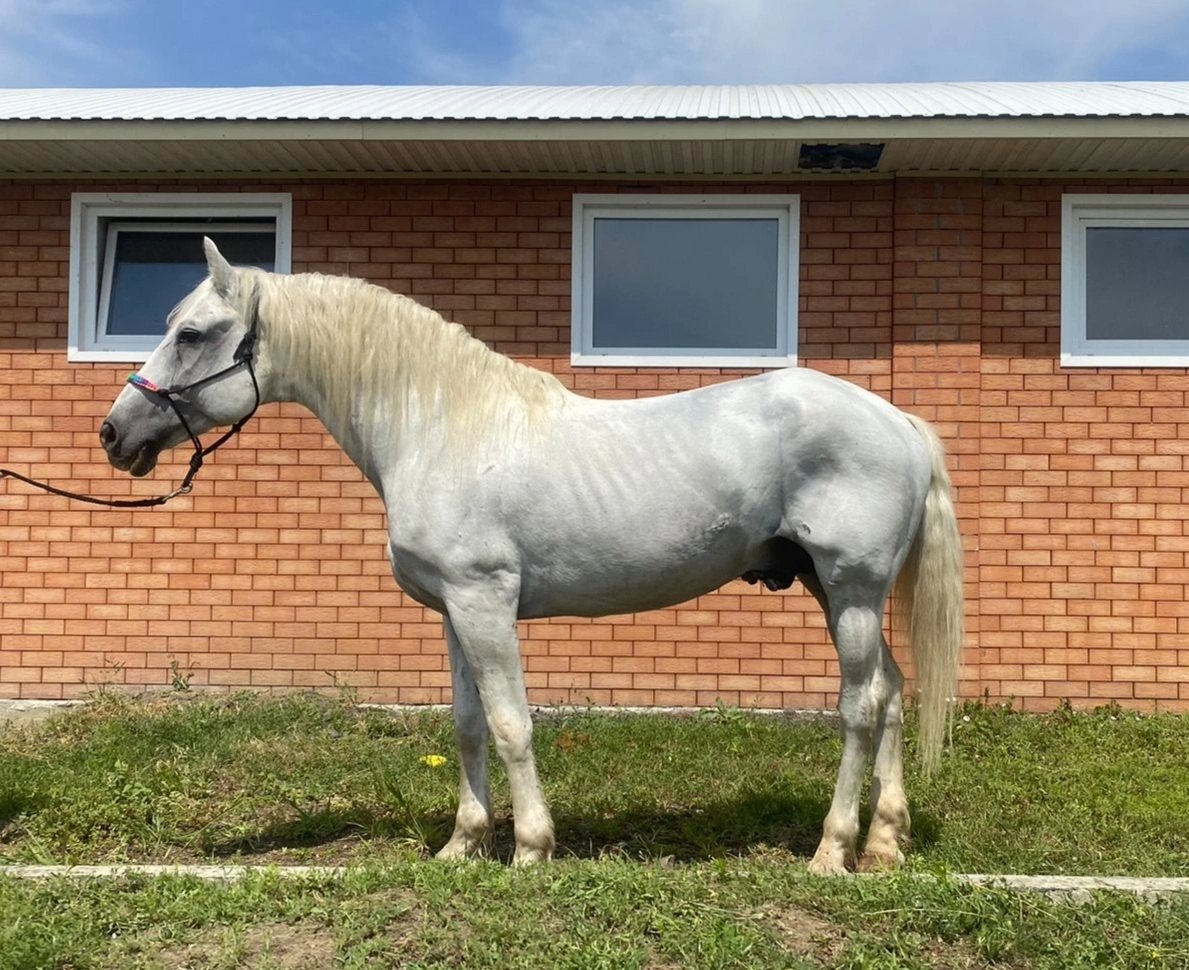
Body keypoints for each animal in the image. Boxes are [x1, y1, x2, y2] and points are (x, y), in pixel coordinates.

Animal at [99, 238, 964, 874]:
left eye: (193, 333)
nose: (115, 434)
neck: (443, 425)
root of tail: (896, 421)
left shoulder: (485, 603)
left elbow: (513, 723)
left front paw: (529, 849)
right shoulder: (453, 612)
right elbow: (467, 725)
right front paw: (462, 845)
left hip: (851, 590)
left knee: (859, 706)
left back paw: (829, 852)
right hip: (833, 590)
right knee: (891, 692)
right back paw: (884, 843)